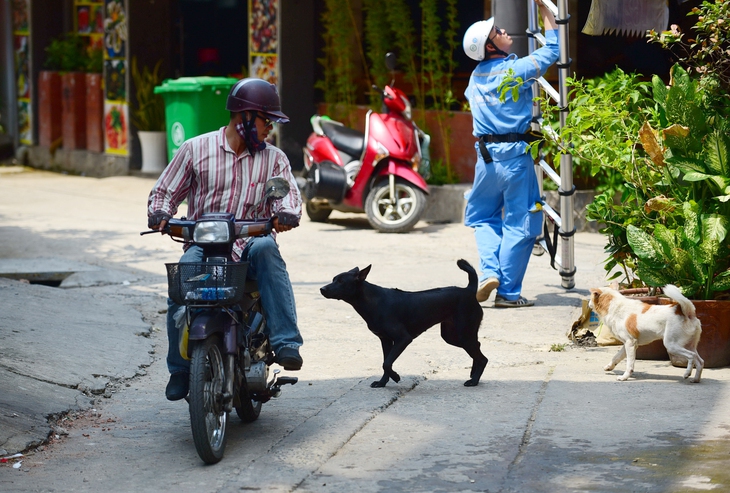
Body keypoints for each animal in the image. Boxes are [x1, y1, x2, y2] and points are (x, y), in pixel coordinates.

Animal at [320, 260, 486, 386]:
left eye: (341, 282)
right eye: (333, 279)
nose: (321, 289)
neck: (372, 300)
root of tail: (469, 290)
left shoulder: (403, 339)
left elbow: (387, 363)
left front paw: (396, 377)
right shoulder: (386, 340)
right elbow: (385, 362)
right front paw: (382, 382)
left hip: (463, 335)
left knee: (483, 358)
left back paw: (474, 381)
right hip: (451, 336)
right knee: (478, 347)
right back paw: (473, 374)